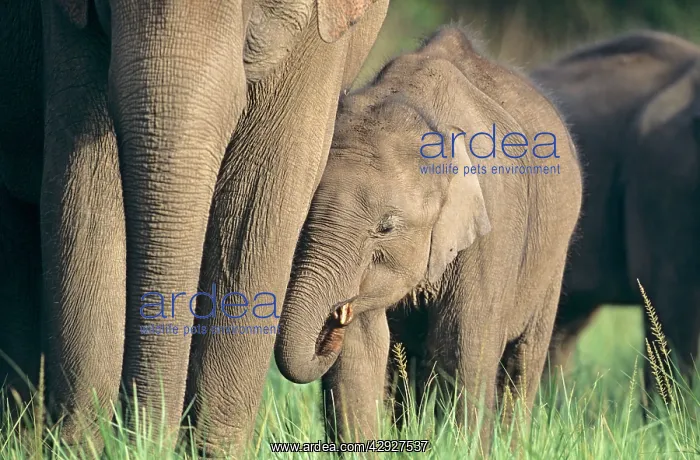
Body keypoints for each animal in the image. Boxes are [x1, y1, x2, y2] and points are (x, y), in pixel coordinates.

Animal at [274, 26, 583, 447]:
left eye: (385, 227)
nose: (333, 321)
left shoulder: (494, 228)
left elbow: (462, 346)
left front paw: (466, 449)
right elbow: (361, 349)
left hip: (553, 258)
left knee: (523, 359)